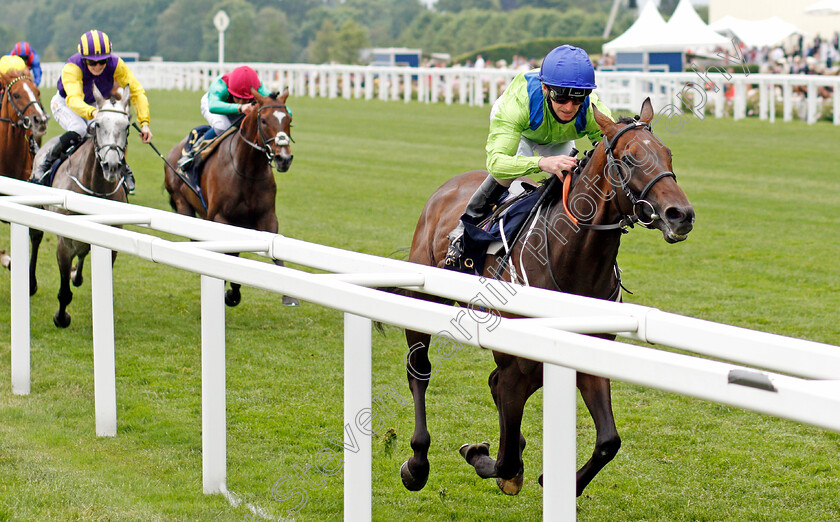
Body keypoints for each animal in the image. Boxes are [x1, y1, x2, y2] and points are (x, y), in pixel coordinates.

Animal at [28, 84, 132, 324]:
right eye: (98, 124)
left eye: (127, 127)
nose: (112, 166)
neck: (95, 188)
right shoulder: (64, 241)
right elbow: (64, 289)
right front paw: (61, 317)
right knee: (36, 239)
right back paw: (31, 284)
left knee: (83, 252)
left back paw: (77, 274)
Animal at [162, 86, 296, 304]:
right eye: (263, 120)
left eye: (288, 119)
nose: (284, 158)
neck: (247, 170)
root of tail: (174, 150)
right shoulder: (220, 217)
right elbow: (230, 255)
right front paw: (231, 291)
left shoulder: (267, 217)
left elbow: (275, 251)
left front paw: (289, 296)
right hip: (183, 205)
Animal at [400, 96, 696, 496]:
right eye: (630, 158)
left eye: (668, 154)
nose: (681, 214)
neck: (571, 260)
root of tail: (447, 188)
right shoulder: (517, 361)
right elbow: (505, 457)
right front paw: (483, 457)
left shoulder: (583, 353)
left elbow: (609, 440)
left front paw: (561, 482)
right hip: (424, 303)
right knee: (420, 371)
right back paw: (417, 464)